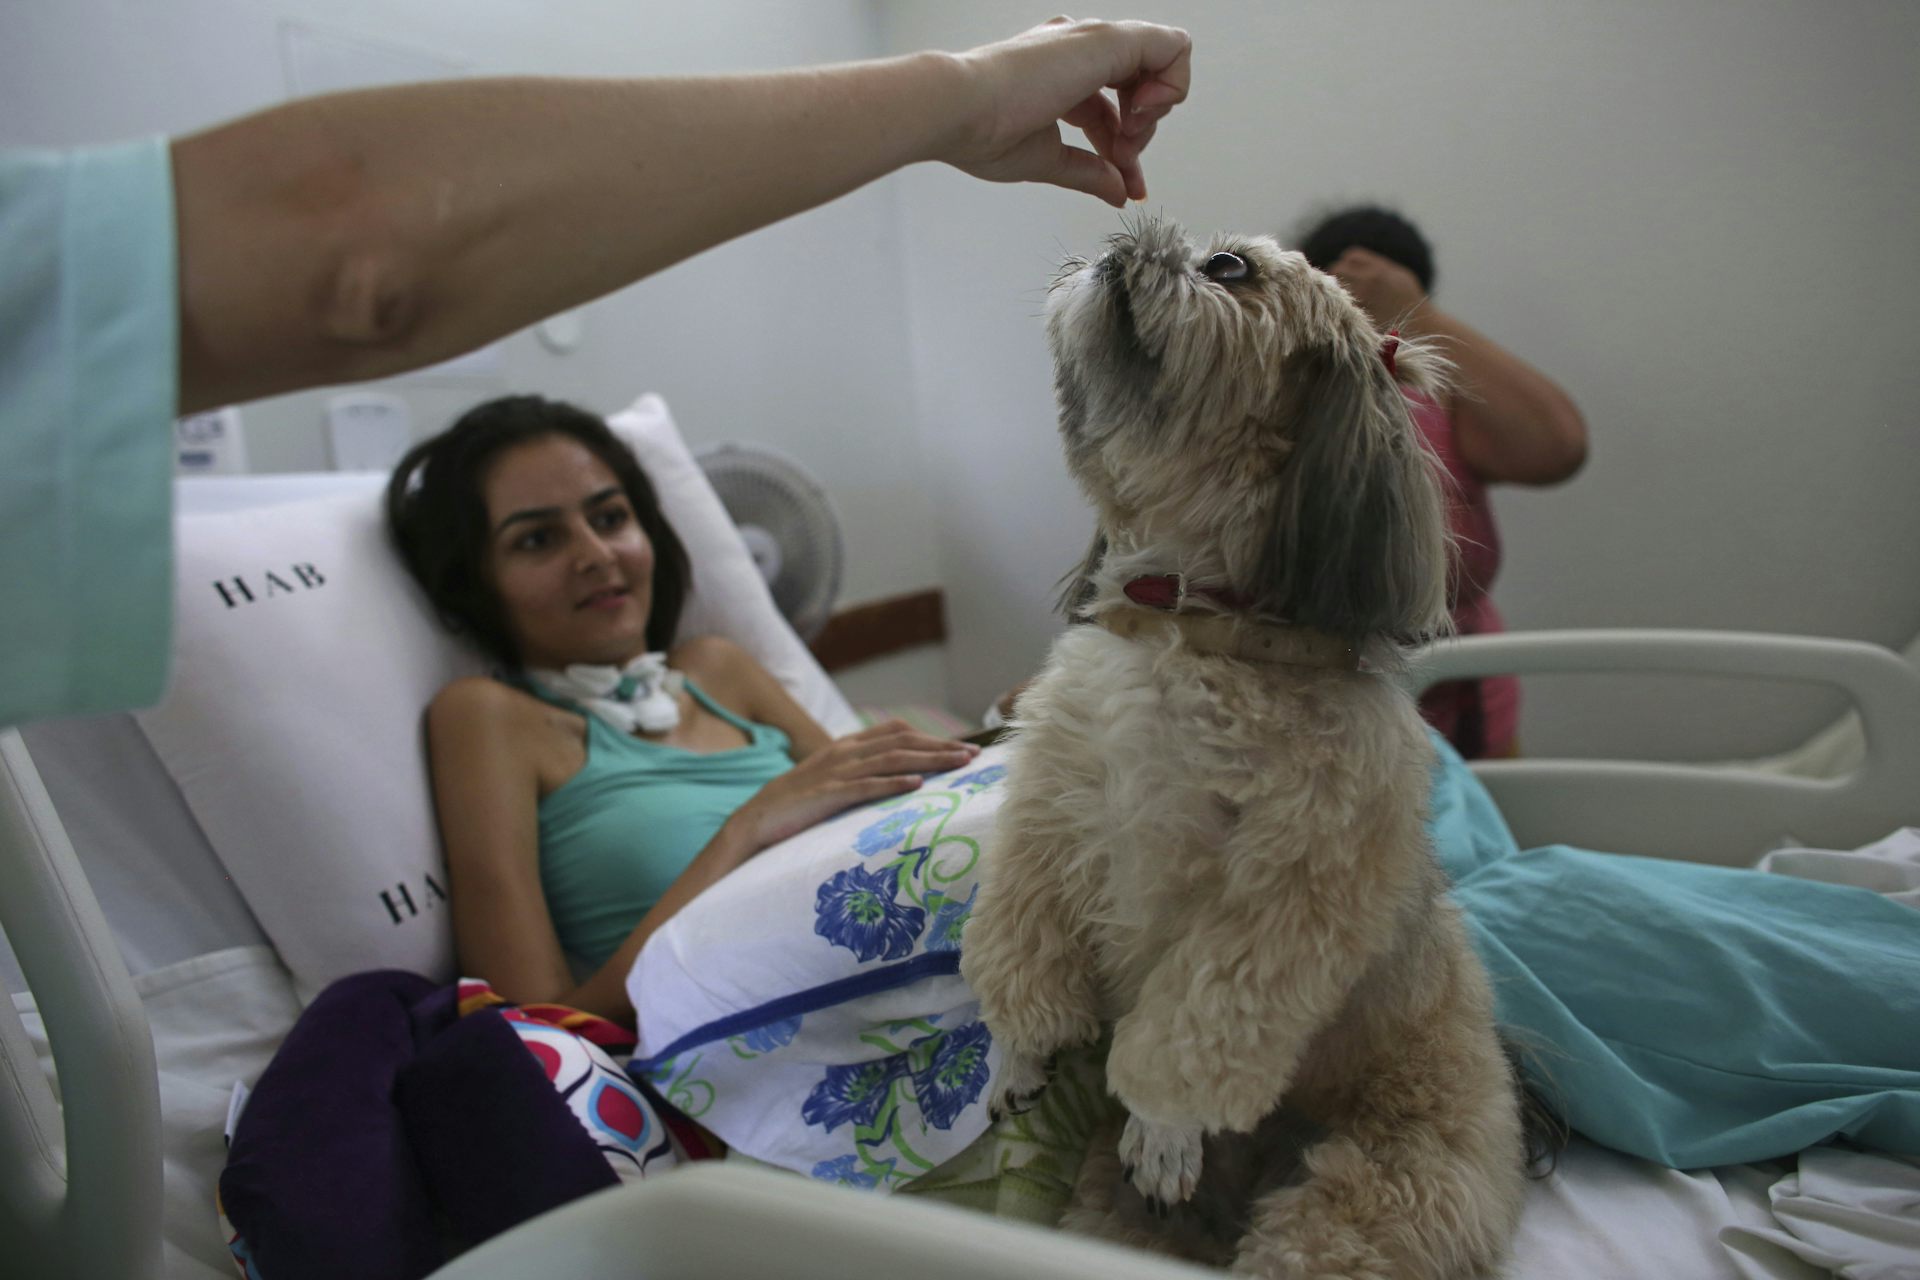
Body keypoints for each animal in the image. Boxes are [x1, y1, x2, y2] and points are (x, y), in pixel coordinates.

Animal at [957, 215, 1526, 1279]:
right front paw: (1017, 1051)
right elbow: (1023, 941)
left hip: (1371, 1198)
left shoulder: (1283, 900)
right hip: (1104, 1215)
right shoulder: (1050, 814)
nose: (1125, 234)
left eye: (1228, 270)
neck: (1191, 621)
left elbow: (1202, 1019)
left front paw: (1163, 1128)